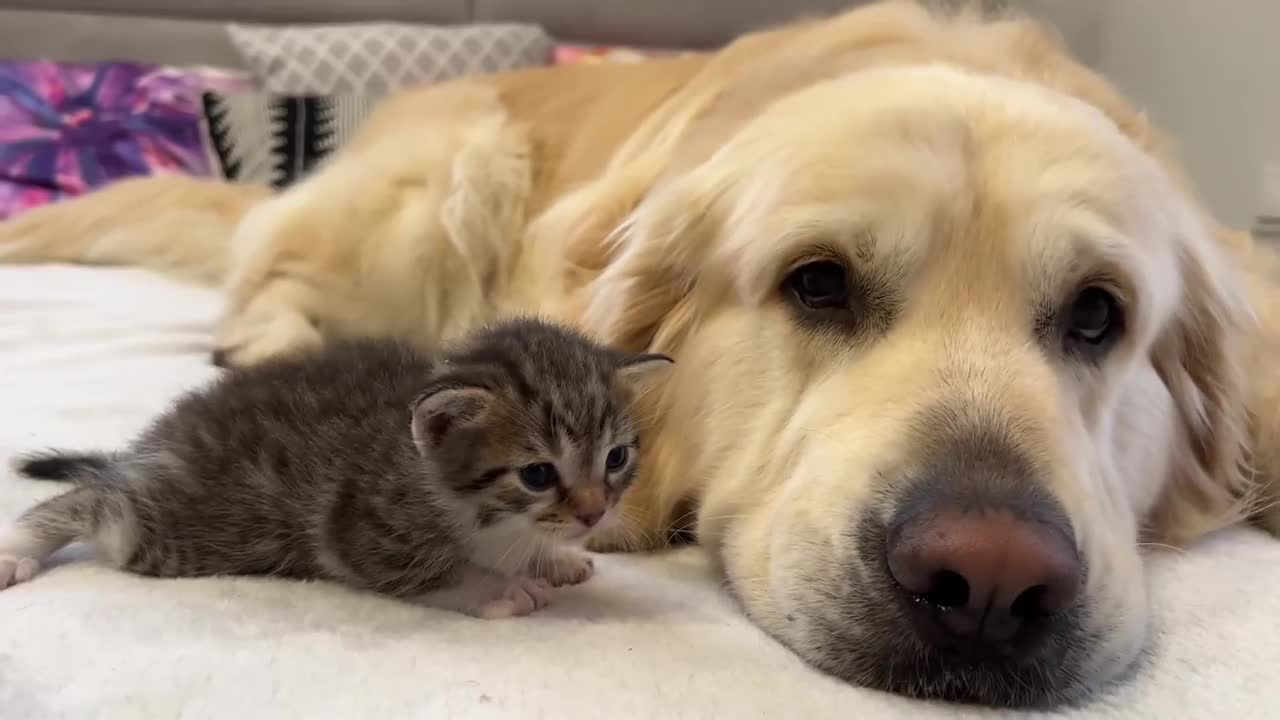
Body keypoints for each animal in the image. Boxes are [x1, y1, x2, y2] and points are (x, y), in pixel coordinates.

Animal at [0, 317, 670, 617]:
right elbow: (429, 572)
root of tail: (158, 438)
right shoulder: (361, 526)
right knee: (95, 501)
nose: (594, 513)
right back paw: (18, 547)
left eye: (616, 458)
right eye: (538, 474)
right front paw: (502, 587)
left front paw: (551, 559)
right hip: (178, 529)